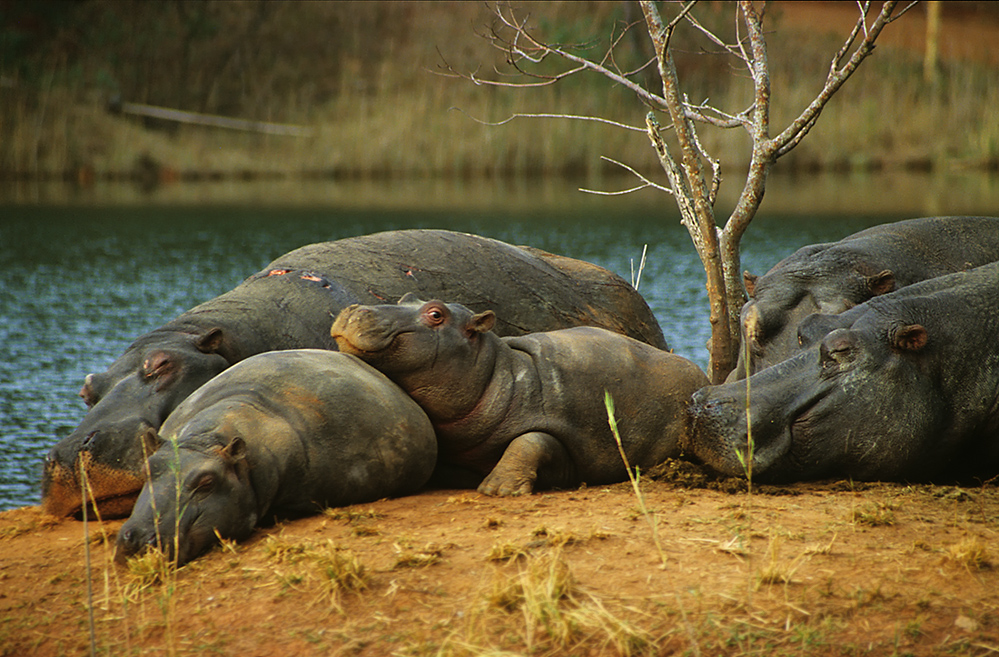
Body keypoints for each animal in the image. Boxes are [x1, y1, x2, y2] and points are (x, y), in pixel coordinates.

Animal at [332, 296, 708, 492]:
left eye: (436, 313)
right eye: (405, 299)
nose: (355, 308)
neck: (497, 373)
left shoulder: (566, 426)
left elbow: (531, 441)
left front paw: (496, 489)